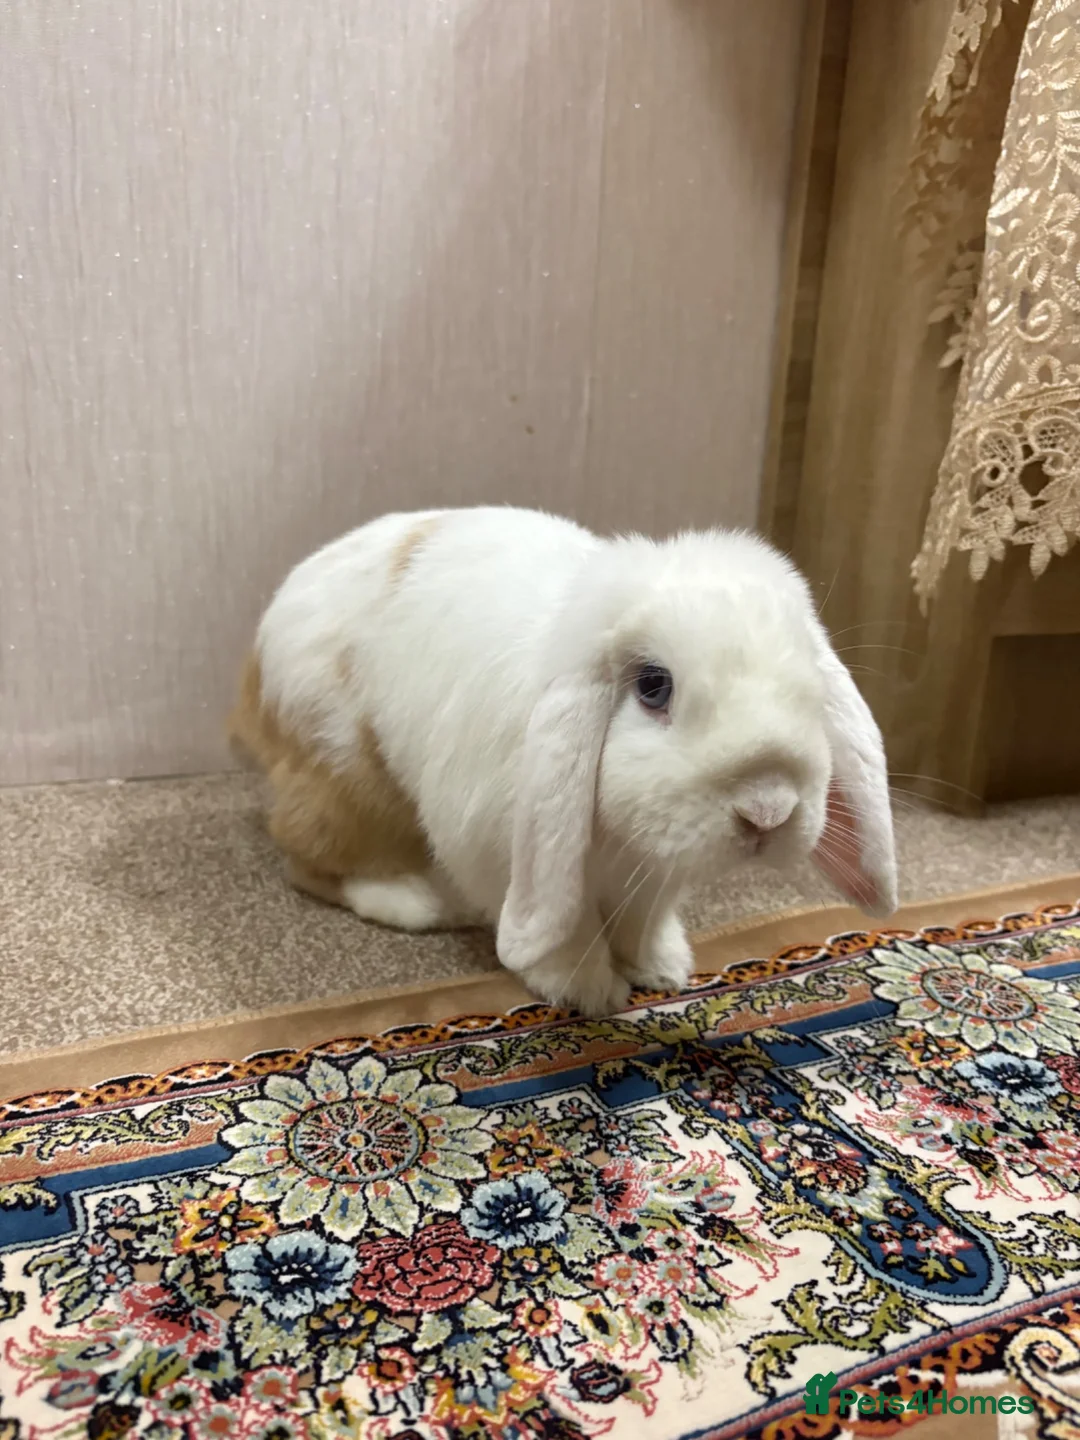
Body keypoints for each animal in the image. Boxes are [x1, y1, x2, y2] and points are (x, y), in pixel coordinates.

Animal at [229, 505, 897, 1018]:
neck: (626, 844)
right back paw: (415, 901)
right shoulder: (519, 857)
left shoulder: (653, 879)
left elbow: (644, 922)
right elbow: (564, 932)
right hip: (342, 774)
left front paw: (662, 970)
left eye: (810, 684)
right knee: (310, 859)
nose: (768, 810)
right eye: (653, 686)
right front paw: (590, 992)